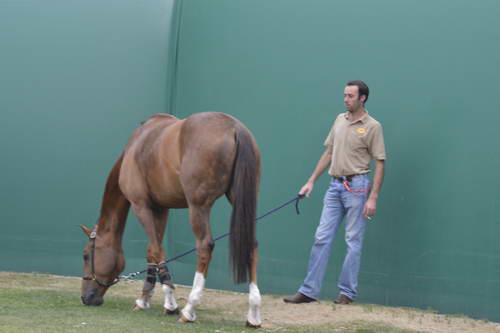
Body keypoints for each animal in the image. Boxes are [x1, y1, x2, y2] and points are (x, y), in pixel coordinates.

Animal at [79, 113, 262, 326]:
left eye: (86, 255)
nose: (85, 298)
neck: (136, 147)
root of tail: (234, 127)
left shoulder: (141, 206)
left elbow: (157, 251)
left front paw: (170, 303)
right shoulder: (161, 209)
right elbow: (152, 252)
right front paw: (144, 299)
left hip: (198, 207)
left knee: (204, 246)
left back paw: (189, 309)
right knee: (252, 244)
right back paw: (254, 313)